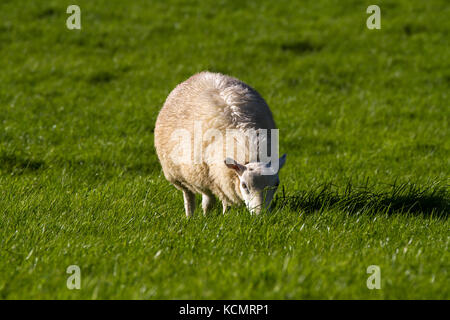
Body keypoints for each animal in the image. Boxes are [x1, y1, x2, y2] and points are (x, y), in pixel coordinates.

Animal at [155, 71, 286, 216]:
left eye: (276, 185)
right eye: (244, 185)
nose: (260, 214)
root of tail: (202, 73)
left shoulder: (221, 179)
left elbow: (224, 201)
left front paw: (224, 215)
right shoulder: (213, 178)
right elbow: (213, 201)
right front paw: (215, 216)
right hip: (180, 175)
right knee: (190, 196)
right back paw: (191, 216)